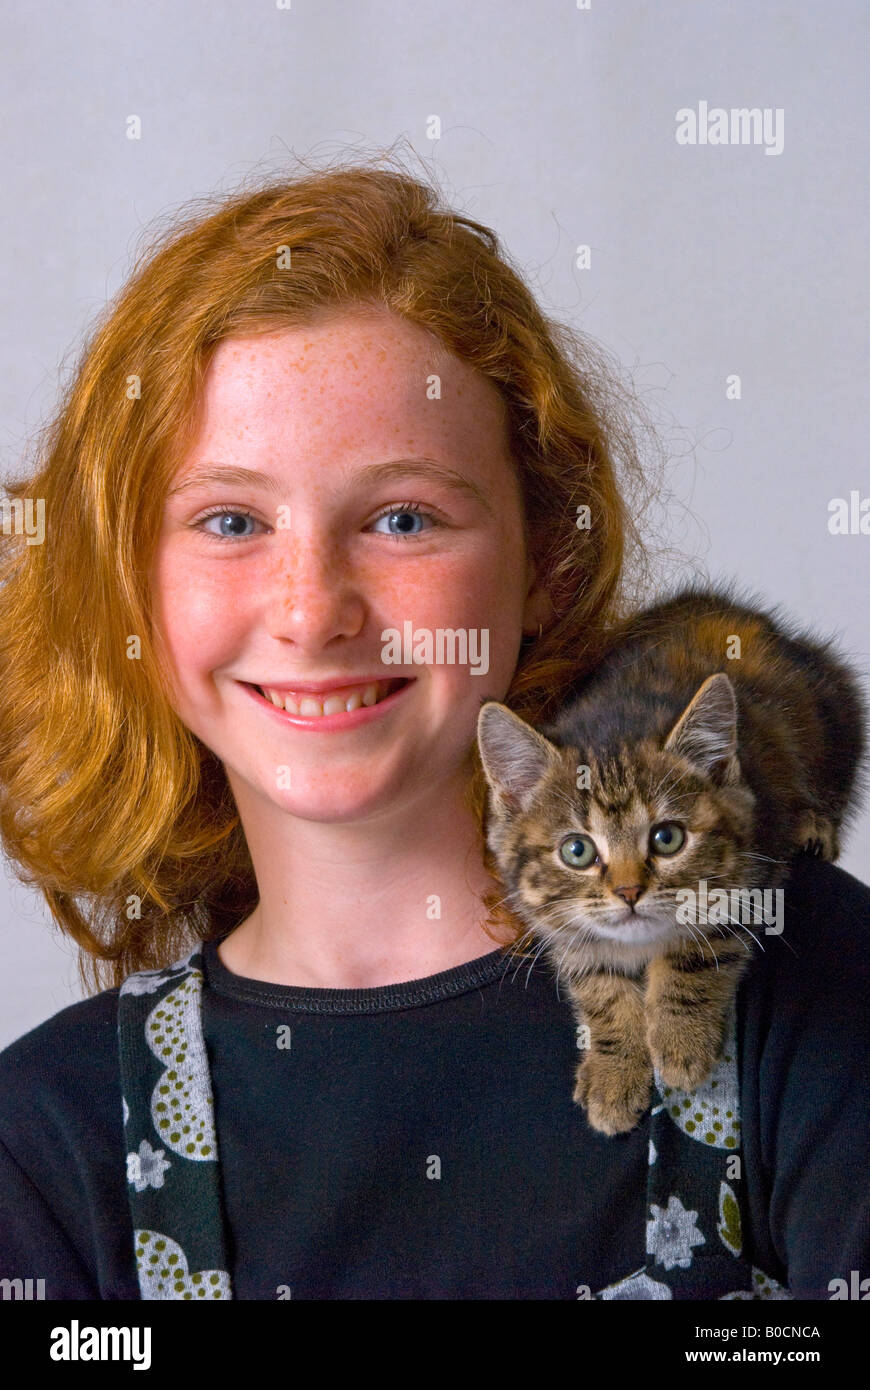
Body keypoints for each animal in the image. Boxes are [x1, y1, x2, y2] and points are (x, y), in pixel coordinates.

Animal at [478, 581, 861, 1134]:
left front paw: (681, 1039)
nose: (629, 892)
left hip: (832, 703)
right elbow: (596, 981)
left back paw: (815, 823)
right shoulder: (559, 924)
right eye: (577, 850)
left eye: (667, 839)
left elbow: (701, 944)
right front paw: (614, 1070)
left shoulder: (754, 864)